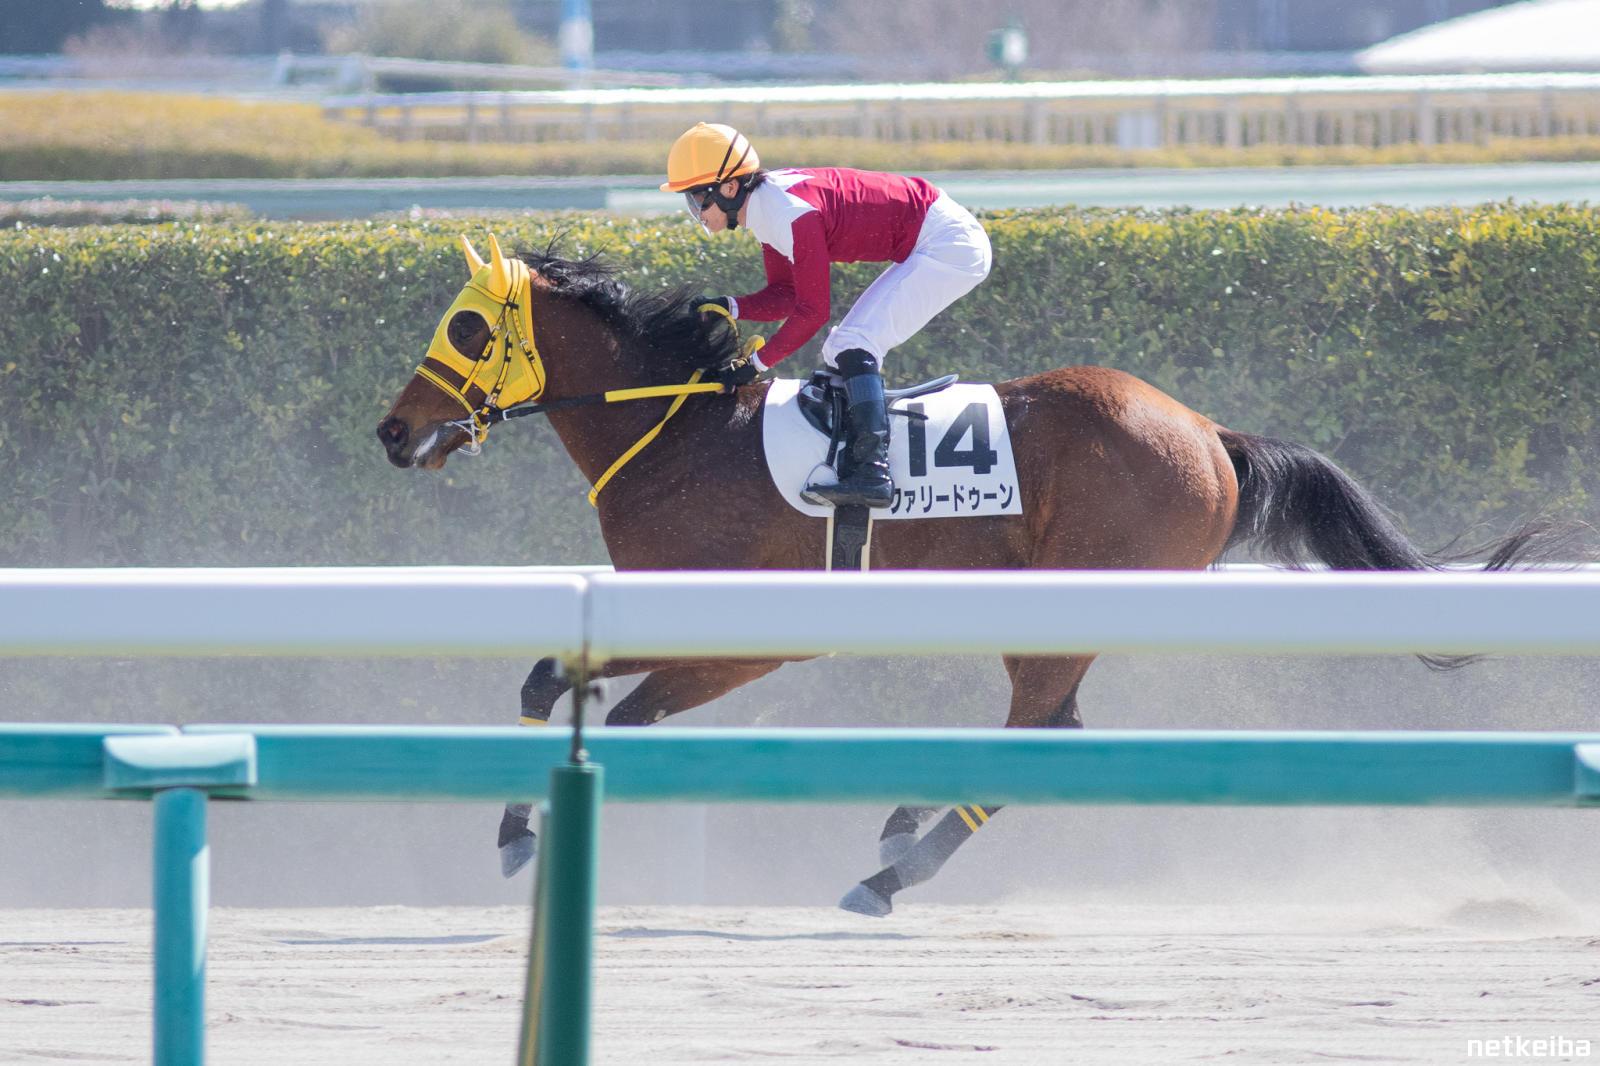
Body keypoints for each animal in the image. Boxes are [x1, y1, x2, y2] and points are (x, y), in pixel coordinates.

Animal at [376, 233, 1569, 917]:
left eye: (468, 326)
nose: (392, 432)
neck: (680, 431)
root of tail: (1210, 434)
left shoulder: (752, 636)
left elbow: (622, 721)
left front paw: (543, 833)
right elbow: (547, 679)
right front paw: (515, 836)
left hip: (1069, 601)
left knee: (1034, 732)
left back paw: (892, 872)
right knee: (1049, 730)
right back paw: (903, 824)